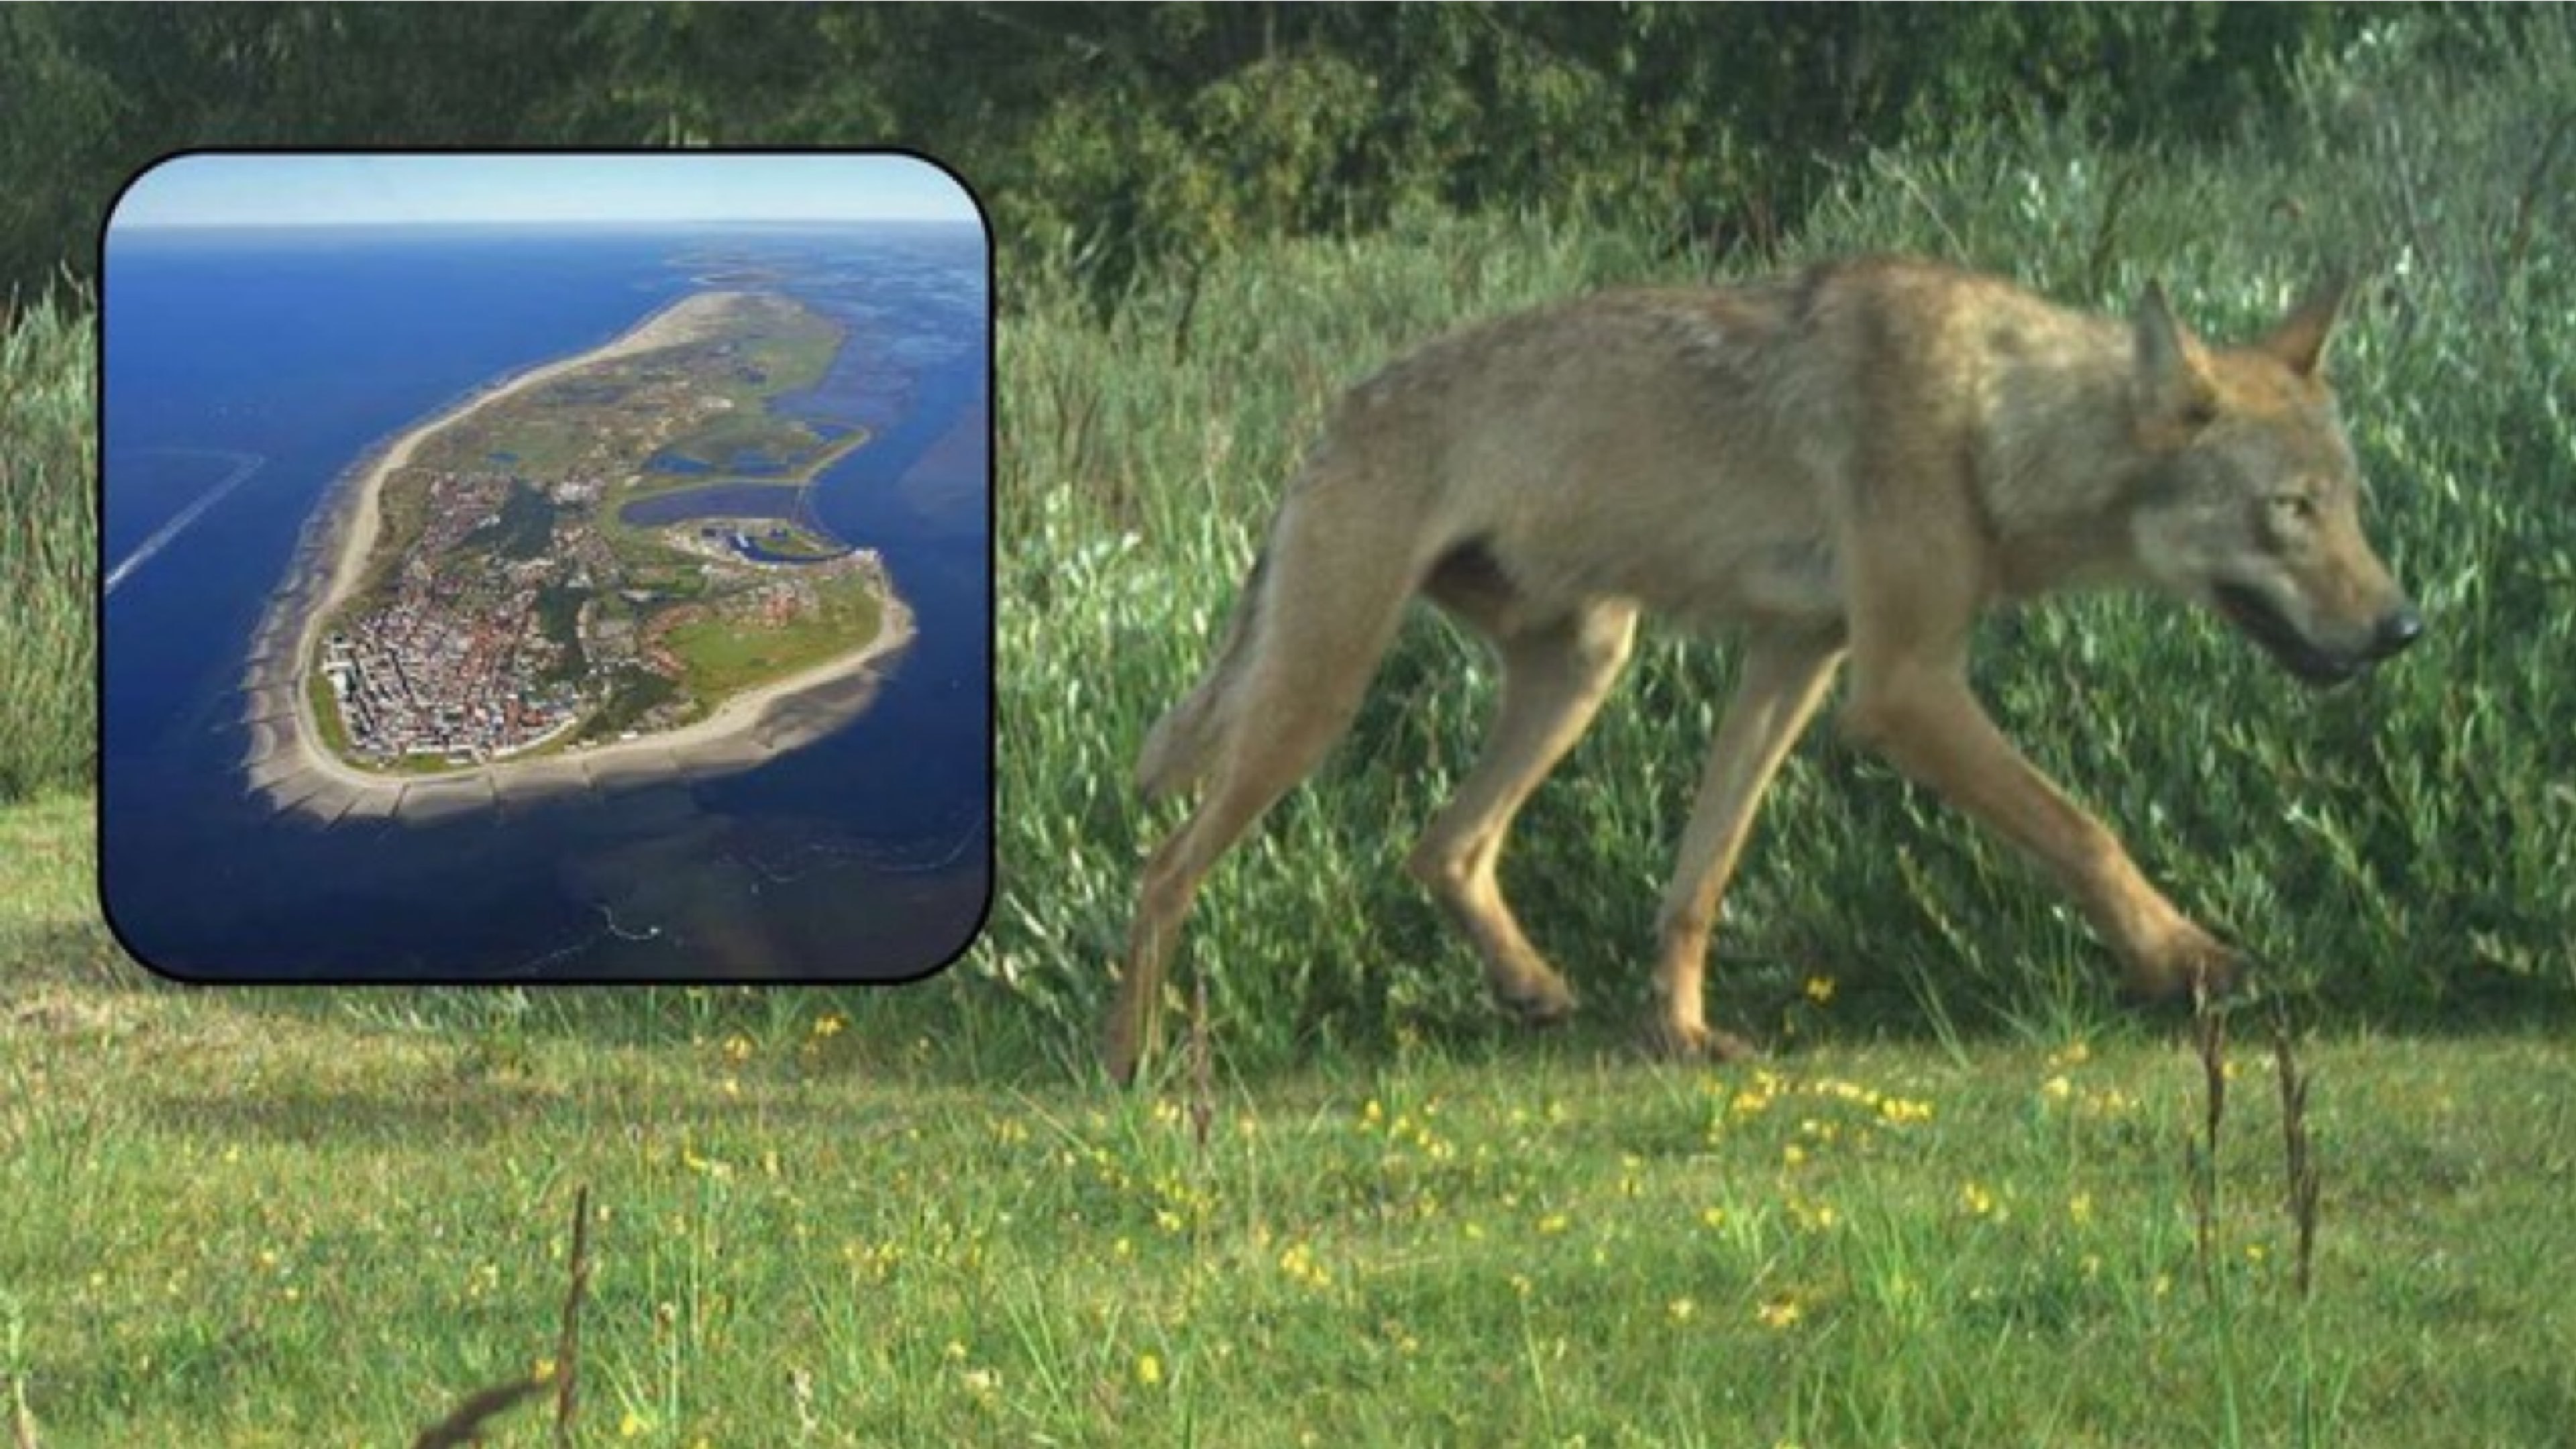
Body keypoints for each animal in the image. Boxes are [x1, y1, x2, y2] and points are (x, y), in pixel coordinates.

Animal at [1107, 256, 2420, 1083]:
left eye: (2352, 504)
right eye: (2289, 511)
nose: (2404, 628)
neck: (1993, 420)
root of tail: (1328, 420)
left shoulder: (1795, 656)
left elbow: (1700, 879)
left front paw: (1681, 1039)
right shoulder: (1901, 688)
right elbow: (2085, 829)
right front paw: (2187, 962)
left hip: (1586, 661)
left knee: (1445, 845)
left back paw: (1532, 988)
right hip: (1319, 699)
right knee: (1164, 871)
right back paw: (1132, 1066)